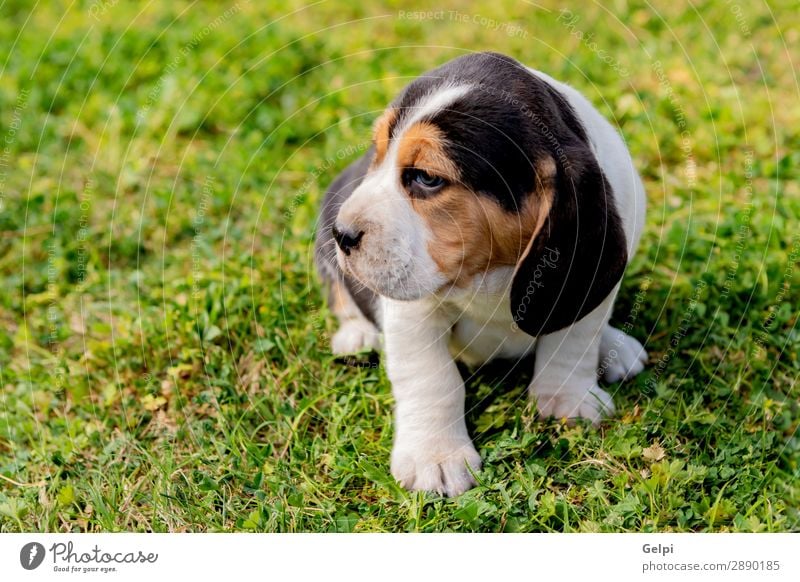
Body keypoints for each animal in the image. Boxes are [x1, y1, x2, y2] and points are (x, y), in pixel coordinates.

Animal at [316, 52, 648, 498]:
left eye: (427, 177)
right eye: (377, 152)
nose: (343, 233)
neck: (491, 271)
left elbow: (573, 338)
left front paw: (567, 400)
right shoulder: (412, 309)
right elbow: (432, 378)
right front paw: (436, 458)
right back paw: (357, 335)